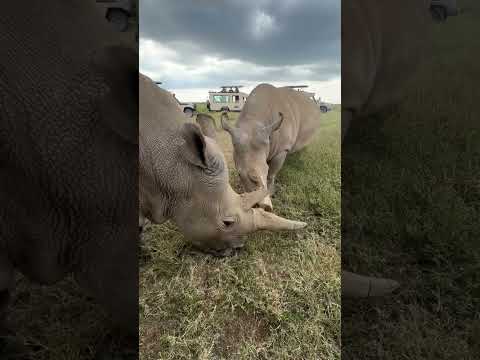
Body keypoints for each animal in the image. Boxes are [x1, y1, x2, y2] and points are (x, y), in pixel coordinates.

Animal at [222, 83, 322, 212]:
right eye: (239, 174)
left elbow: (272, 173)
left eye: (266, 169)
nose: (264, 206)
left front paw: (270, 193)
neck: (254, 121)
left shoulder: (282, 149)